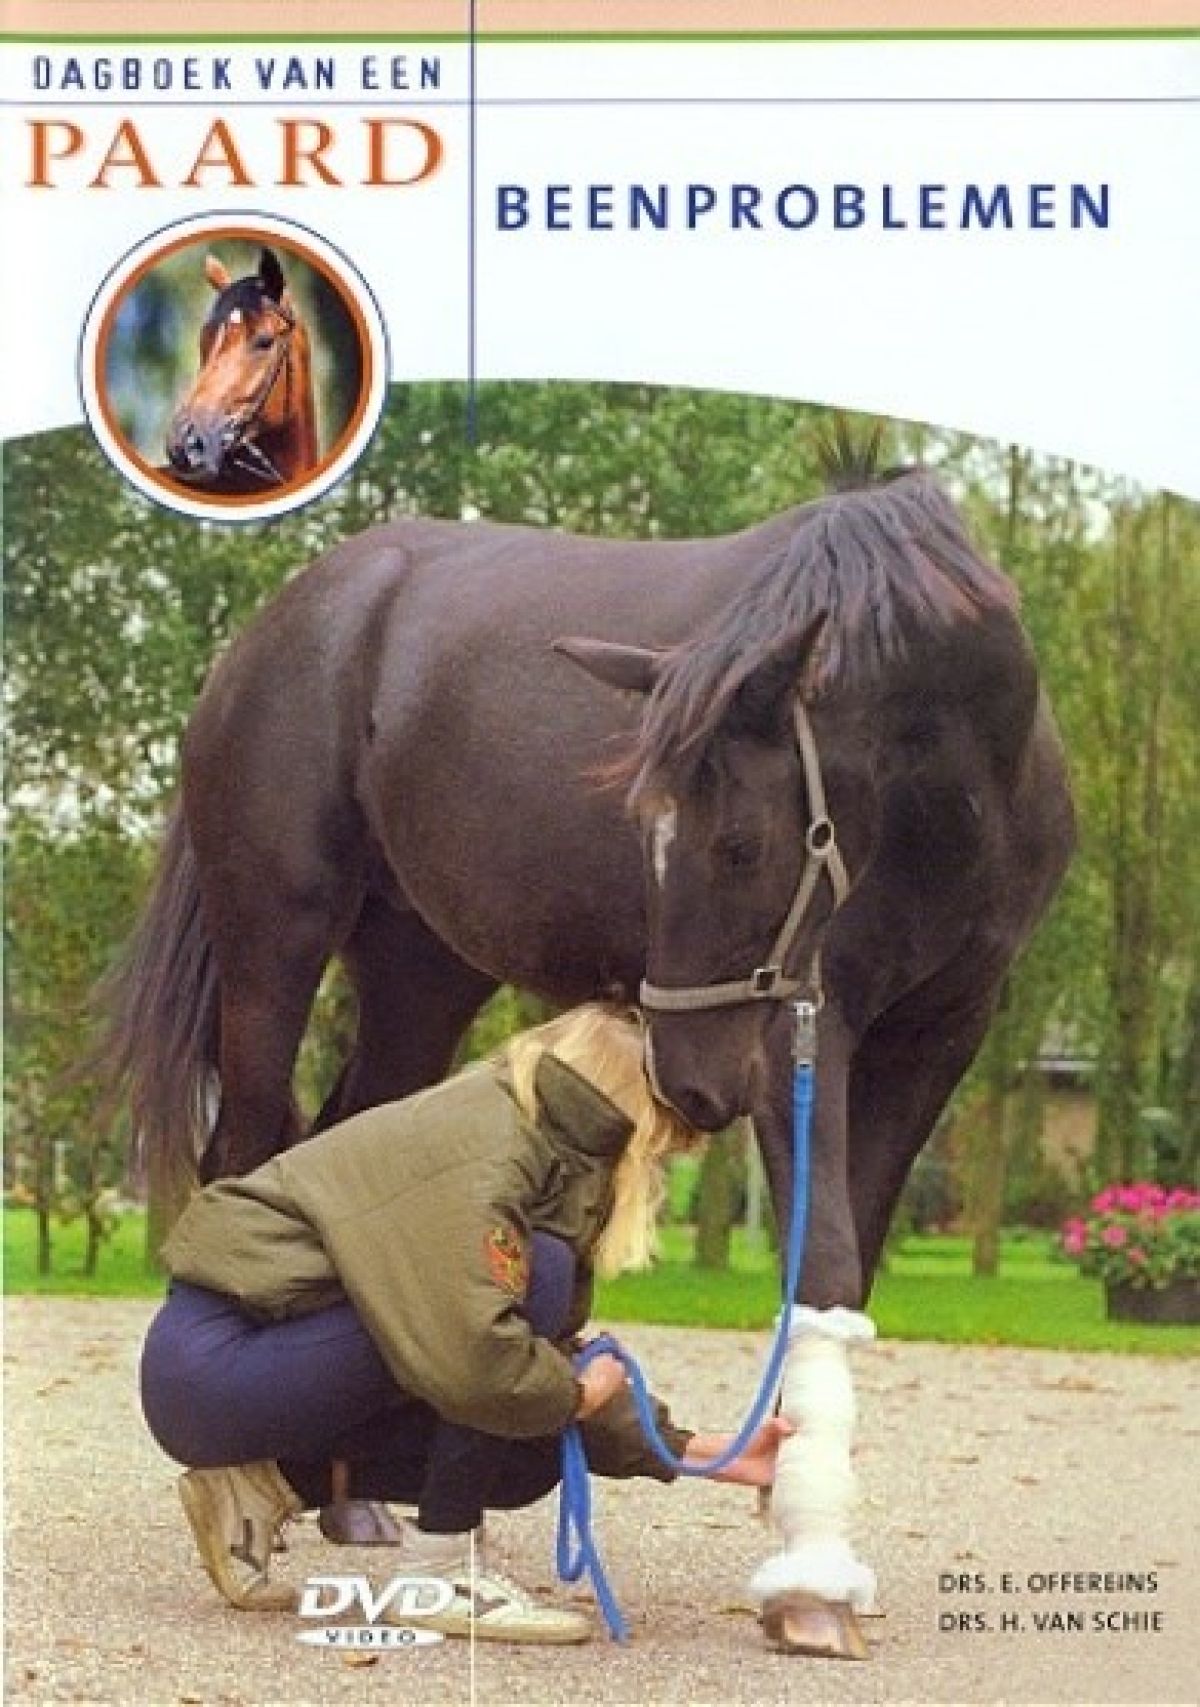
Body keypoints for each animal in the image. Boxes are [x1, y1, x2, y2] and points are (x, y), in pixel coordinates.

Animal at [100, 460, 1075, 1656]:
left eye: (739, 844)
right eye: (645, 834)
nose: (693, 1075)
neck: (959, 789)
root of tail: (287, 618)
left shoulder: (943, 1032)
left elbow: (854, 1266)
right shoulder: (811, 1027)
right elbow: (826, 1260)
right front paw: (807, 1581)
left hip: (421, 966)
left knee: (350, 1138)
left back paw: (355, 1495)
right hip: (275, 941)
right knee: (245, 1149)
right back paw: (253, 1478)